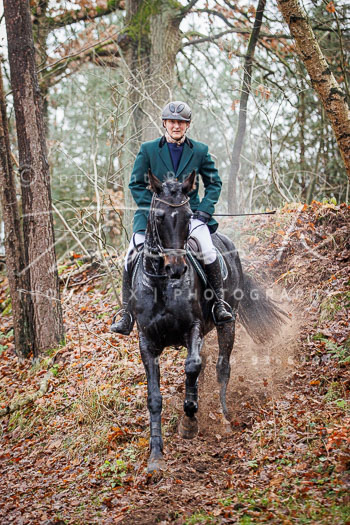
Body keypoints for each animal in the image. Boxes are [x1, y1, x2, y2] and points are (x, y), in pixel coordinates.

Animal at [129, 171, 284, 470]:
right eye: (159, 216)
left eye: (189, 216)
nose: (176, 268)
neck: (162, 285)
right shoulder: (147, 342)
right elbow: (154, 398)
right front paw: (156, 457)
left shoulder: (194, 329)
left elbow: (192, 366)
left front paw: (189, 422)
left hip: (227, 324)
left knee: (221, 368)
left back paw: (223, 418)